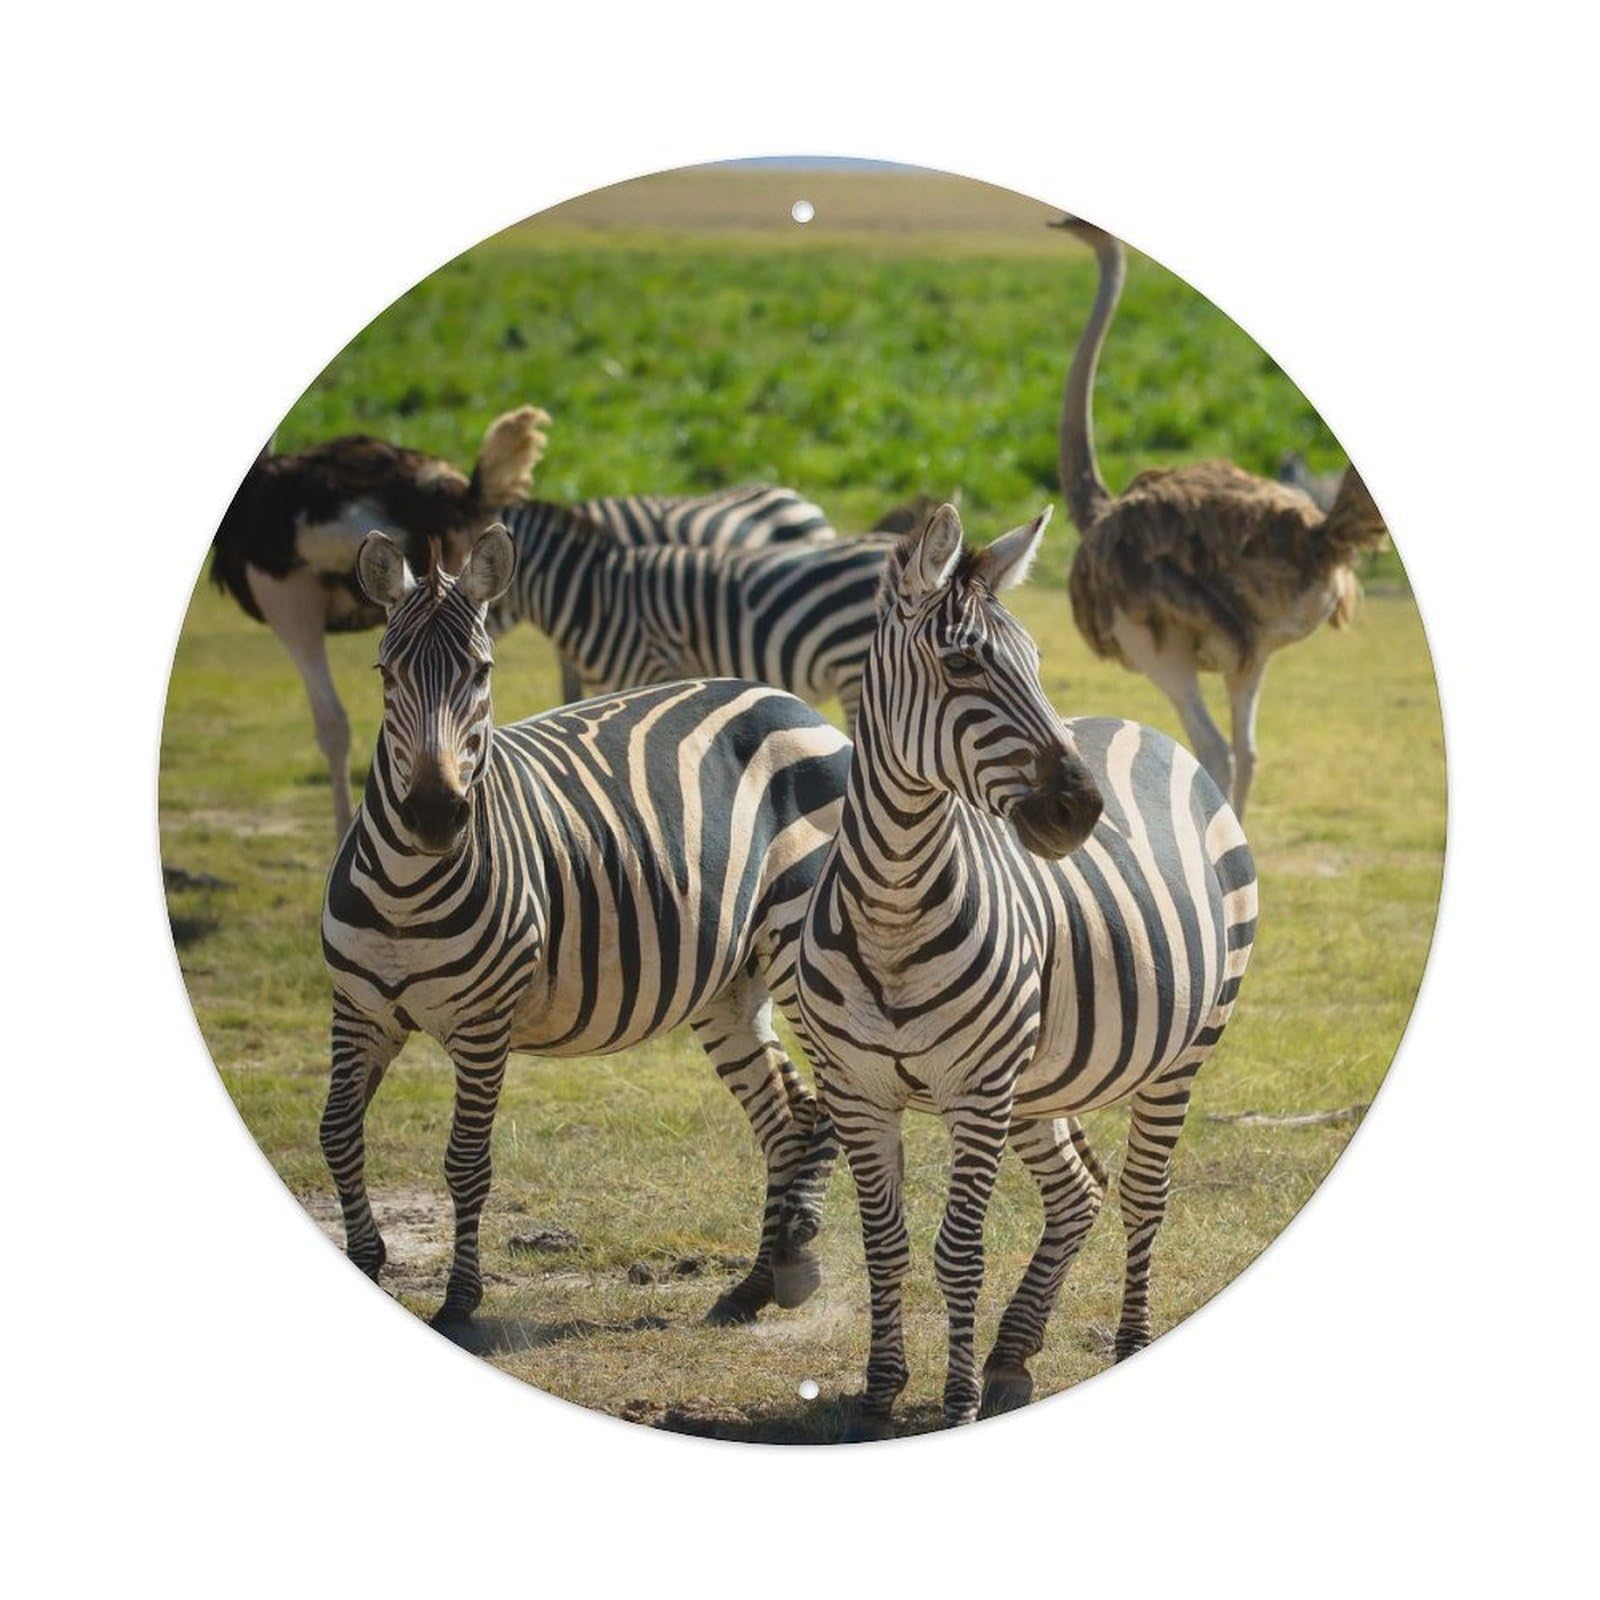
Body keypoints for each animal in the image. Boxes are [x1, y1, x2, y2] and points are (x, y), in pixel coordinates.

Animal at [320, 523, 853, 1334]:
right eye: (386, 671)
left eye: (481, 671)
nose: (436, 815)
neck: (408, 887)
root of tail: (782, 697)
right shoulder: (359, 1009)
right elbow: (337, 1132)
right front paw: (367, 1263)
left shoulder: (483, 1023)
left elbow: (466, 1160)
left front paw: (461, 1301)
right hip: (730, 981)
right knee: (787, 1116)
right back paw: (755, 1285)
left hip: (796, 942)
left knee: (822, 1106)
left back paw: (790, 1257)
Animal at [786, 502, 1258, 1437]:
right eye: (963, 663)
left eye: (1038, 665)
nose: (1082, 810)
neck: (892, 908)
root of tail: (1149, 730)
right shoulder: (857, 1089)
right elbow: (885, 1244)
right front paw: (880, 1394)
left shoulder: (976, 1091)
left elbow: (959, 1250)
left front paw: (956, 1403)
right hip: (1040, 1079)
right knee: (1078, 1190)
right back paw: (1011, 1357)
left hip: (1181, 1052)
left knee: (1144, 1194)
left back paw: (1124, 1344)